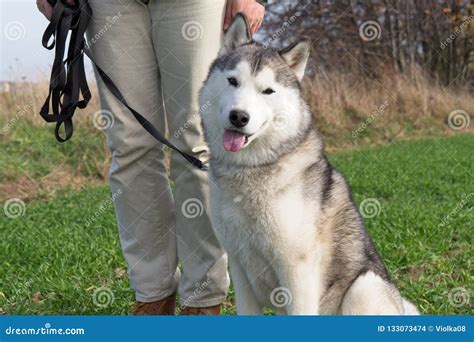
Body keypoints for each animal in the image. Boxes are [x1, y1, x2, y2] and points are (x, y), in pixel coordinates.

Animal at [198, 15, 416, 316]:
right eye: (232, 81)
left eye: (268, 91)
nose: (239, 117)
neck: (250, 170)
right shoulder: (240, 268)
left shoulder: (296, 271)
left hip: (364, 286)